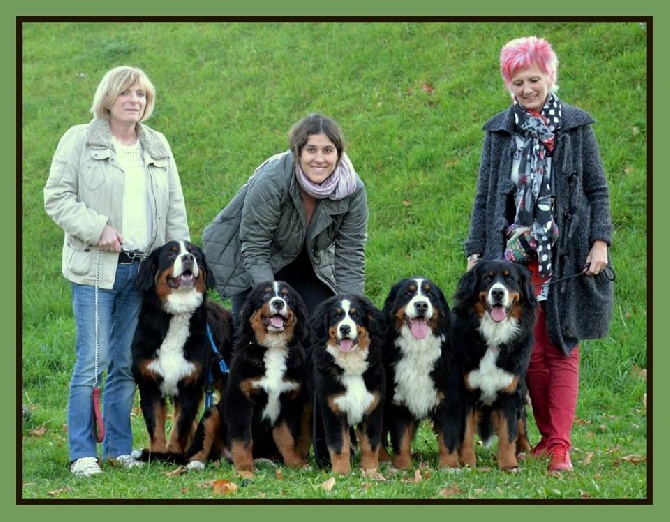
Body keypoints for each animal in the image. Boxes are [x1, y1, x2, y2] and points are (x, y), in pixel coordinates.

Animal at [132, 240, 236, 464]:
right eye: (171, 255)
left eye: (194, 252)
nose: (188, 258)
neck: (177, 316)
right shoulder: (149, 384)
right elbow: (156, 427)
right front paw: (157, 454)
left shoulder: (190, 385)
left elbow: (180, 427)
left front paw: (172, 454)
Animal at [223, 280, 312, 476]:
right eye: (265, 296)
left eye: (286, 296)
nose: (278, 303)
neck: (274, 348)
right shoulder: (240, 400)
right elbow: (242, 438)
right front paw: (245, 467)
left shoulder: (288, 402)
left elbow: (287, 438)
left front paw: (296, 463)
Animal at [308, 294, 386, 474]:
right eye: (336, 316)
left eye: (355, 315)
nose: (344, 328)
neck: (351, 365)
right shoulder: (333, 410)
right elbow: (338, 445)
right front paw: (341, 473)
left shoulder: (372, 408)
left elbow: (370, 445)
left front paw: (371, 472)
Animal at [380, 278, 464, 470]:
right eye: (408, 293)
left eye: (430, 294)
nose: (421, 305)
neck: (418, 349)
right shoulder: (399, 401)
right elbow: (401, 438)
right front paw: (402, 466)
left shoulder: (448, 399)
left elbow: (448, 437)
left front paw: (449, 467)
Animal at [452, 258, 540, 470]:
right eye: (487, 278)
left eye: (510, 279)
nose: (498, 292)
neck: (493, 335)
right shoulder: (465, 393)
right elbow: (466, 434)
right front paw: (467, 463)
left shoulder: (510, 392)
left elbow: (508, 434)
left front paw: (509, 465)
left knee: (521, 427)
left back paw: (527, 452)